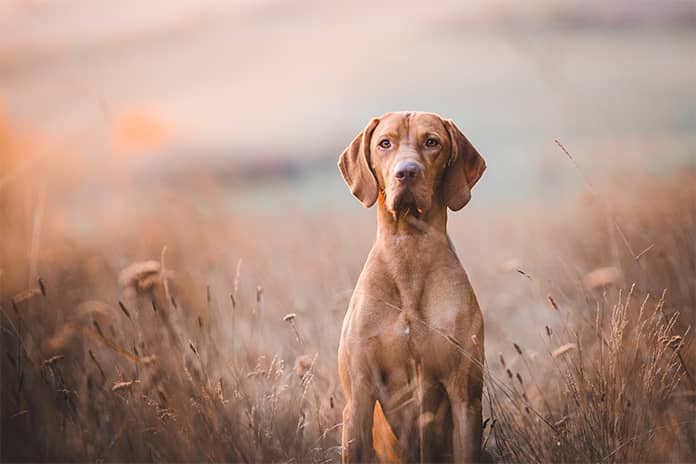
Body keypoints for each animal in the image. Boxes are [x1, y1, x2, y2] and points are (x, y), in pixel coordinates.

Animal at [336, 111, 484, 460]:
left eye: (432, 142)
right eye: (384, 143)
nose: (406, 172)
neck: (408, 250)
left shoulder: (465, 398)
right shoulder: (358, 398)